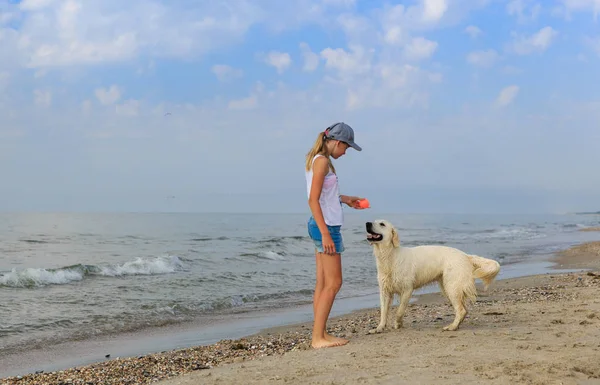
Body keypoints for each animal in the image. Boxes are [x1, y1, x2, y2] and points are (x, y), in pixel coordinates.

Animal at [366, 220, 502, 332]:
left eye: (382, 224)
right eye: (374, 221)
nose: (367, 223)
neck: (390, 257)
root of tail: (465, 255)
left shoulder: (407, 289)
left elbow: (399, 311)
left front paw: (398, 324)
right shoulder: (384, 291)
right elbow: (383, 312)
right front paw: (379, 328)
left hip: (451, 287)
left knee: (461, 310)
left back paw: (452, 327)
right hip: (447, 288)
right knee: (464, 309)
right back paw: (456, 325)